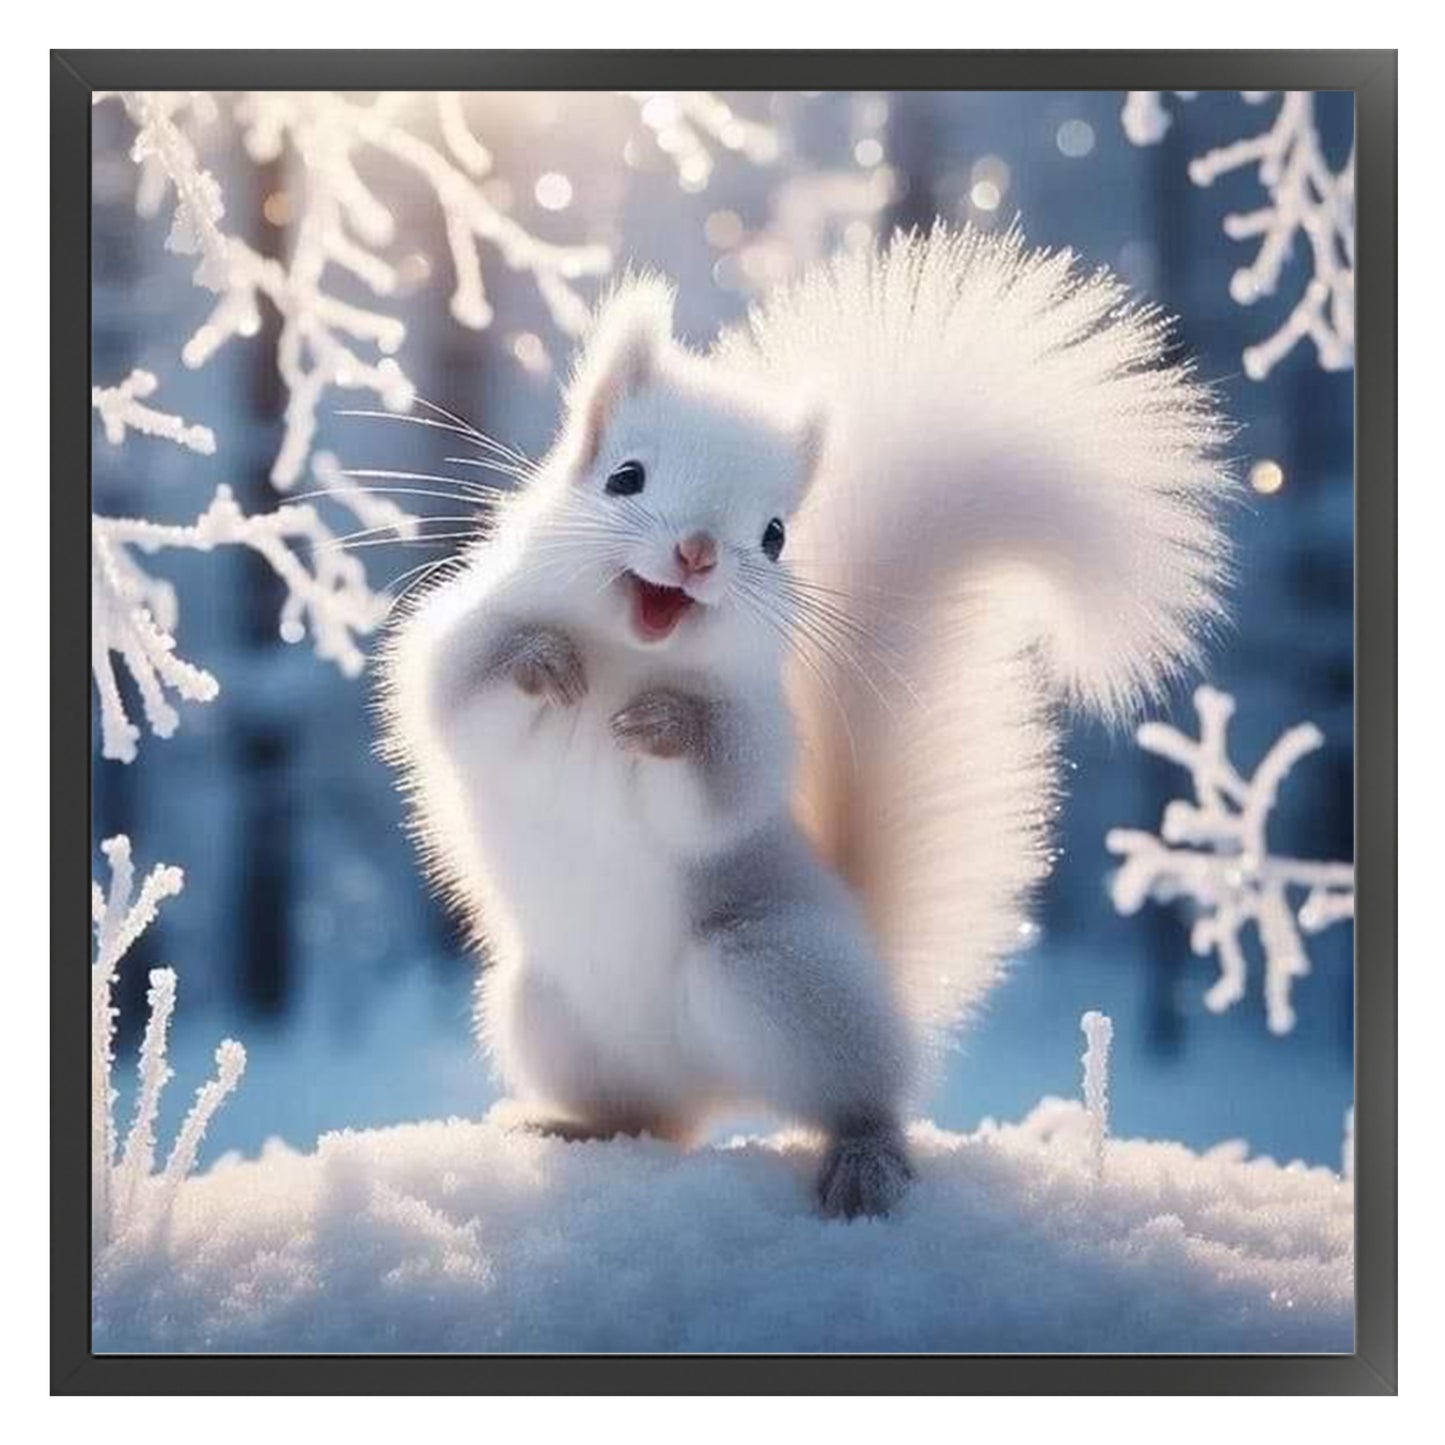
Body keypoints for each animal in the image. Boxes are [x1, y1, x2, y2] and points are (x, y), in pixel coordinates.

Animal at [381, 224, 1233, 1219]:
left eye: (776, 534)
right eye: (623, 477)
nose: (697, 553)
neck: (631, 652)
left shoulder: (758, 731)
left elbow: (720, 787)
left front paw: (667, 721)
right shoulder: (463, 636)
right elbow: (454, 691)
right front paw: (543, 663)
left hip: (774, 972)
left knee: (854, 1096)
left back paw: (864, 1158)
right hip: (546, 1015)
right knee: (655, 1120)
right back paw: (570, 1126)